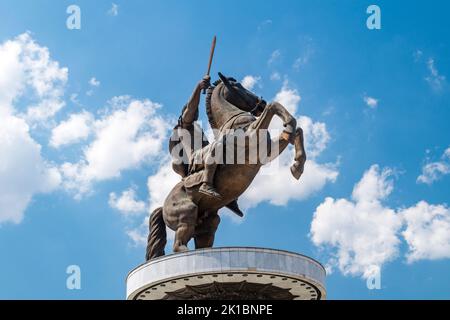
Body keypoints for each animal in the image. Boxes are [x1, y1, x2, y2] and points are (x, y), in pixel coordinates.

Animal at [146, 73, 308, 260]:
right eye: (238, 86)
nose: (261, 104)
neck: (233, 119)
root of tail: (162, 207)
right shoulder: (251, 136)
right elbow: (274, 107)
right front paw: (288, 123)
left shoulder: (267, 151)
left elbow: (297, 131)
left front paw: (297, 165)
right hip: (187, 213)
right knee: (178, 246)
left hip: (208, 223)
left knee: (201, 241)